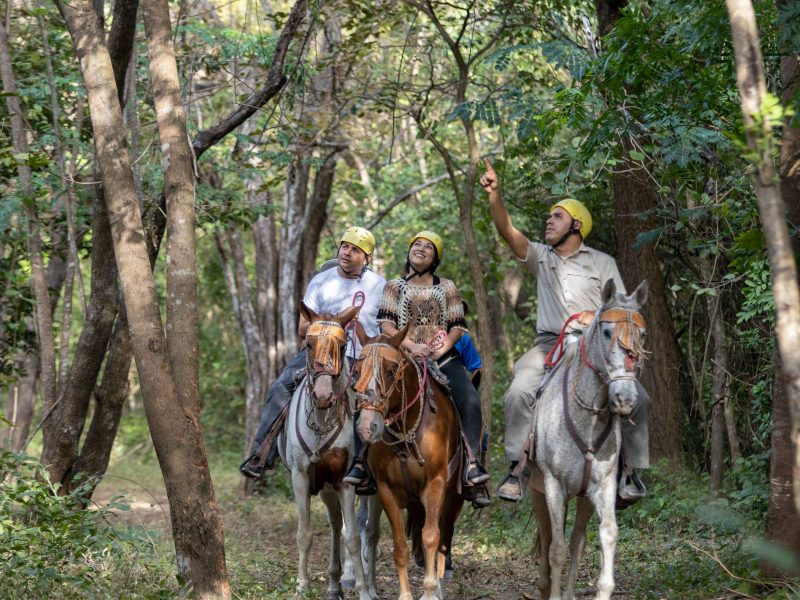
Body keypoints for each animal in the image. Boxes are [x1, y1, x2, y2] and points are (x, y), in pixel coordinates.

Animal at [278, 304, 376, 600]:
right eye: (308, 344)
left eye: (343, 346)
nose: (322, 395)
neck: (321, 422)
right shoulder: (301, 477)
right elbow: (305, 533)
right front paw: (301, 586)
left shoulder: (345, 481)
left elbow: (352, 536)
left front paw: (363, 591)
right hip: (325, 488)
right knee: (334, 524)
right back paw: (333, 585)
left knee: (366, 530)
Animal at [354, 328, 462, 600]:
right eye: (357, 371)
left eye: (391, 372)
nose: (368, 427)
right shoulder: (385, 489)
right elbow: (400, 546)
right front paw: (406, 595)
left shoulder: (435, 484)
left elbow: (432, 537)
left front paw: (430, 591)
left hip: (454, 496)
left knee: (444, 536)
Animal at [528, 282, 648, 600]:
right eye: (606, 332)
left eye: (642, 335)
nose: (625, 398)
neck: (588, 417)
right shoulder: (554, 487)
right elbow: (556, 549)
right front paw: (553, 594)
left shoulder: (602, 487)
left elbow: (606, 535)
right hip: (537, 490)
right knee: (548, 538)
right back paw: (544, 587)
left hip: (583, 498)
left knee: (577, 541)